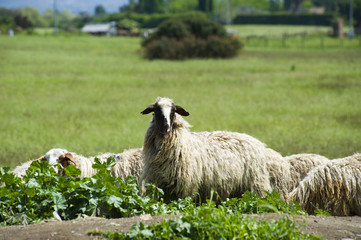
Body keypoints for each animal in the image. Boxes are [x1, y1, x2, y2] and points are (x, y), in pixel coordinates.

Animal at [139, 96, 292, 202]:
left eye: (173, 112)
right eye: (156, 111)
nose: (166, 128)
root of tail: (260, 145)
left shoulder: (184, 188)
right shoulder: (159, 186)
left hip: (257, 186)